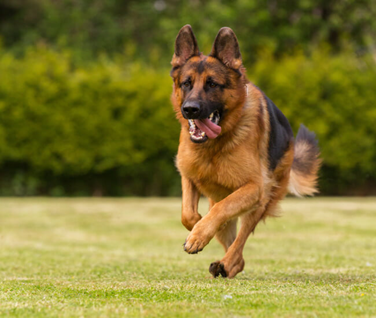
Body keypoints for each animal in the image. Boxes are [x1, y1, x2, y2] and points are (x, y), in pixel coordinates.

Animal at [170, 25, 320, 278]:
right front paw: (197, 228)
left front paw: (199, 235)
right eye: (186, 83)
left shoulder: (253, 188)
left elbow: (222, 209)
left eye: (212, 84)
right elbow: (187, 214)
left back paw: (227, 263)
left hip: (260, 201)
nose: (190, 109)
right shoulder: (188, 176)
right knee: (231, 238)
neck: (214, 146)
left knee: (240, 240)